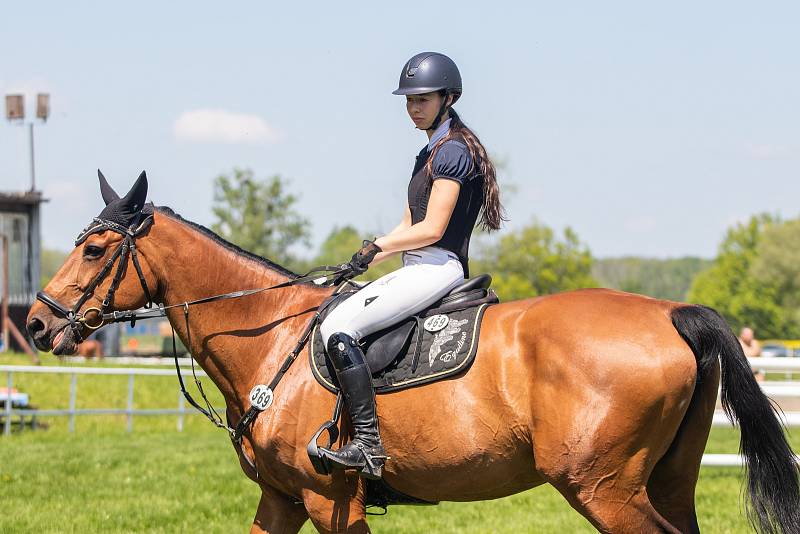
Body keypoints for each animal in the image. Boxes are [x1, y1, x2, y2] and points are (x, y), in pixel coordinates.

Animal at [25, 174, 800, 532]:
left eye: (93, 249)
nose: (34, 324)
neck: (269, 337)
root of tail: (671, 312)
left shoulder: (329, 498)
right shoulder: (280, 498)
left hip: (603, 488)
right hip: (664, 479)